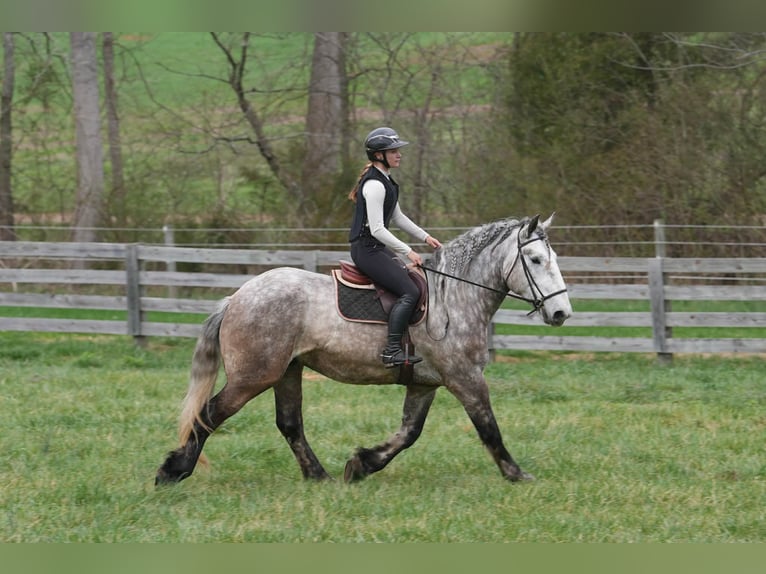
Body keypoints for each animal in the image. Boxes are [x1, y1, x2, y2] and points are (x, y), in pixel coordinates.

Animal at [155, 214, 572, 486]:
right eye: (536, 260)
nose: (561, 313)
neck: (453, 297)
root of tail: (238, 296)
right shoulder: (465, 378)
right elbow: (489, 428)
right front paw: (516, 474)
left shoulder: (425, 383)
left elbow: (409, 432)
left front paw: (362, 464)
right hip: (253, 376)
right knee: (209, 414)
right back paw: (173, 470)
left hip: (287, 371)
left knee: (289, 424)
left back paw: (318, 476)